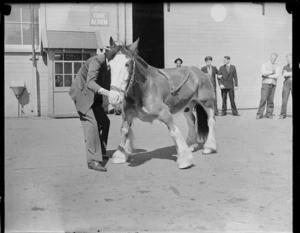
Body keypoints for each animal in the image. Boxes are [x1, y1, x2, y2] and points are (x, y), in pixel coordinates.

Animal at [106, 36, 217, 169]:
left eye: (127, 64)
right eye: (109, 66)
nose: (114, 97)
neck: (145, 89)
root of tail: (201, 72)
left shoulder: (165, 113)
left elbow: (174, 132)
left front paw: (185, 159)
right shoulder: (127, 114)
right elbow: (124, 130)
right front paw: (121, 155)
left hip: (207, 102)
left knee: (210, 121)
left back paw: (209, 147)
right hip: (187, 105)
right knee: (191, 121)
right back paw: (191, 144)